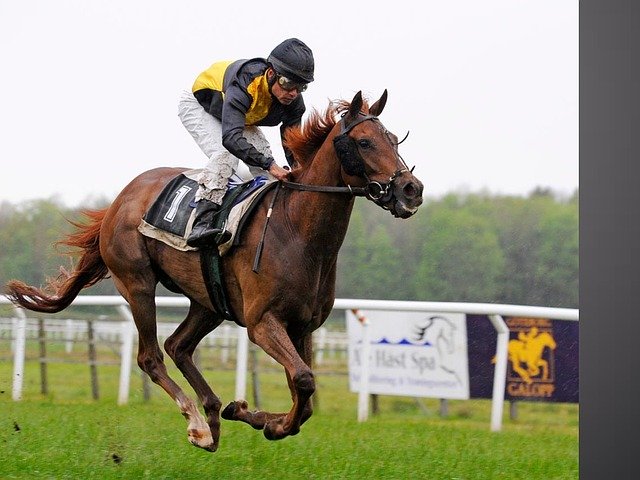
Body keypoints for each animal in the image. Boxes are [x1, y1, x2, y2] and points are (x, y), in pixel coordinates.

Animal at [5, 90, 424, 452]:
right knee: (151, 356)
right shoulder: (262, 322)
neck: (298, 230)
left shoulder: (303, 326)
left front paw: (253, 415)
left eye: (394, 140)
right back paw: (197, 425)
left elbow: (303, 396)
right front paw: (267, 423)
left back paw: (214, 414)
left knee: (178, 346)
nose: (411, 189)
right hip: (136, 282)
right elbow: (304, 380)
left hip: (208, 300)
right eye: (365, 142)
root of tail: (120, 200)